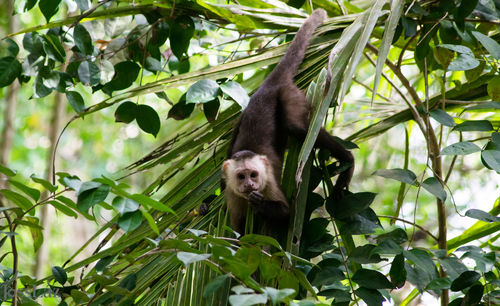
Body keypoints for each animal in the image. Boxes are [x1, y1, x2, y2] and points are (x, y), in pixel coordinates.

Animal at [222, 8, 356, 237]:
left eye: (253, 175)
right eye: (241, 176)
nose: (249, 185)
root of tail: (268, 86)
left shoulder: (268, 184)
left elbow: (285, 213)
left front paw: (261, 206)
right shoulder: (233, 193)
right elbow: (237, 231)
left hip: (289, 93)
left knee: (299, 129)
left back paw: (347, 158)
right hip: (245, 111)